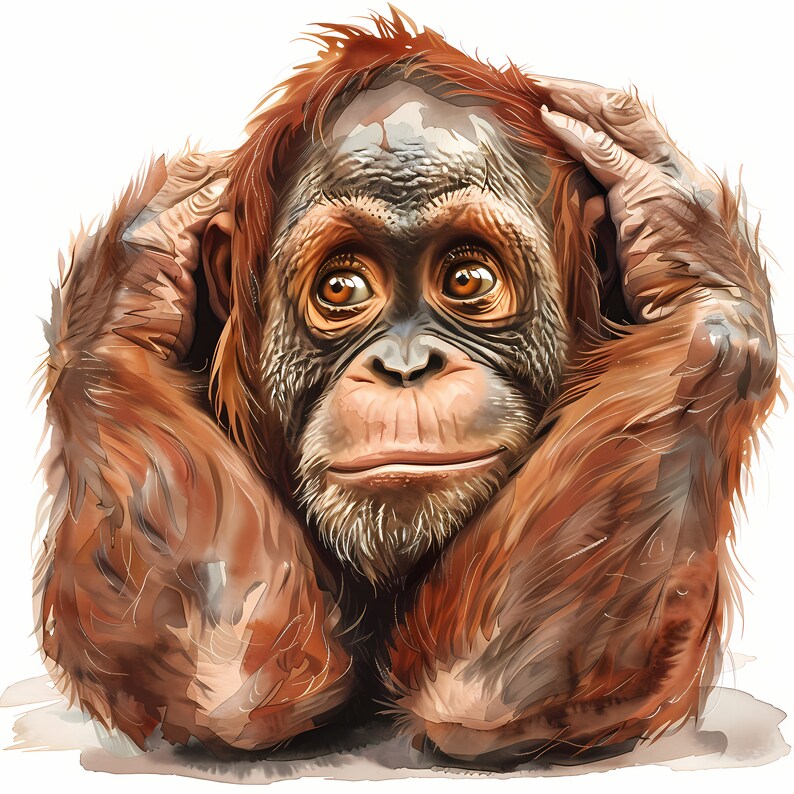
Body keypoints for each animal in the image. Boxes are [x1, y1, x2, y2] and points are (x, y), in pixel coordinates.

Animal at [34, 9, 778, 767]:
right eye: (342, 287)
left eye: (467, 279)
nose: (406, 365)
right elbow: (233, 676)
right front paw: (130, 291)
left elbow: (481, 691)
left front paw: (683, 247)